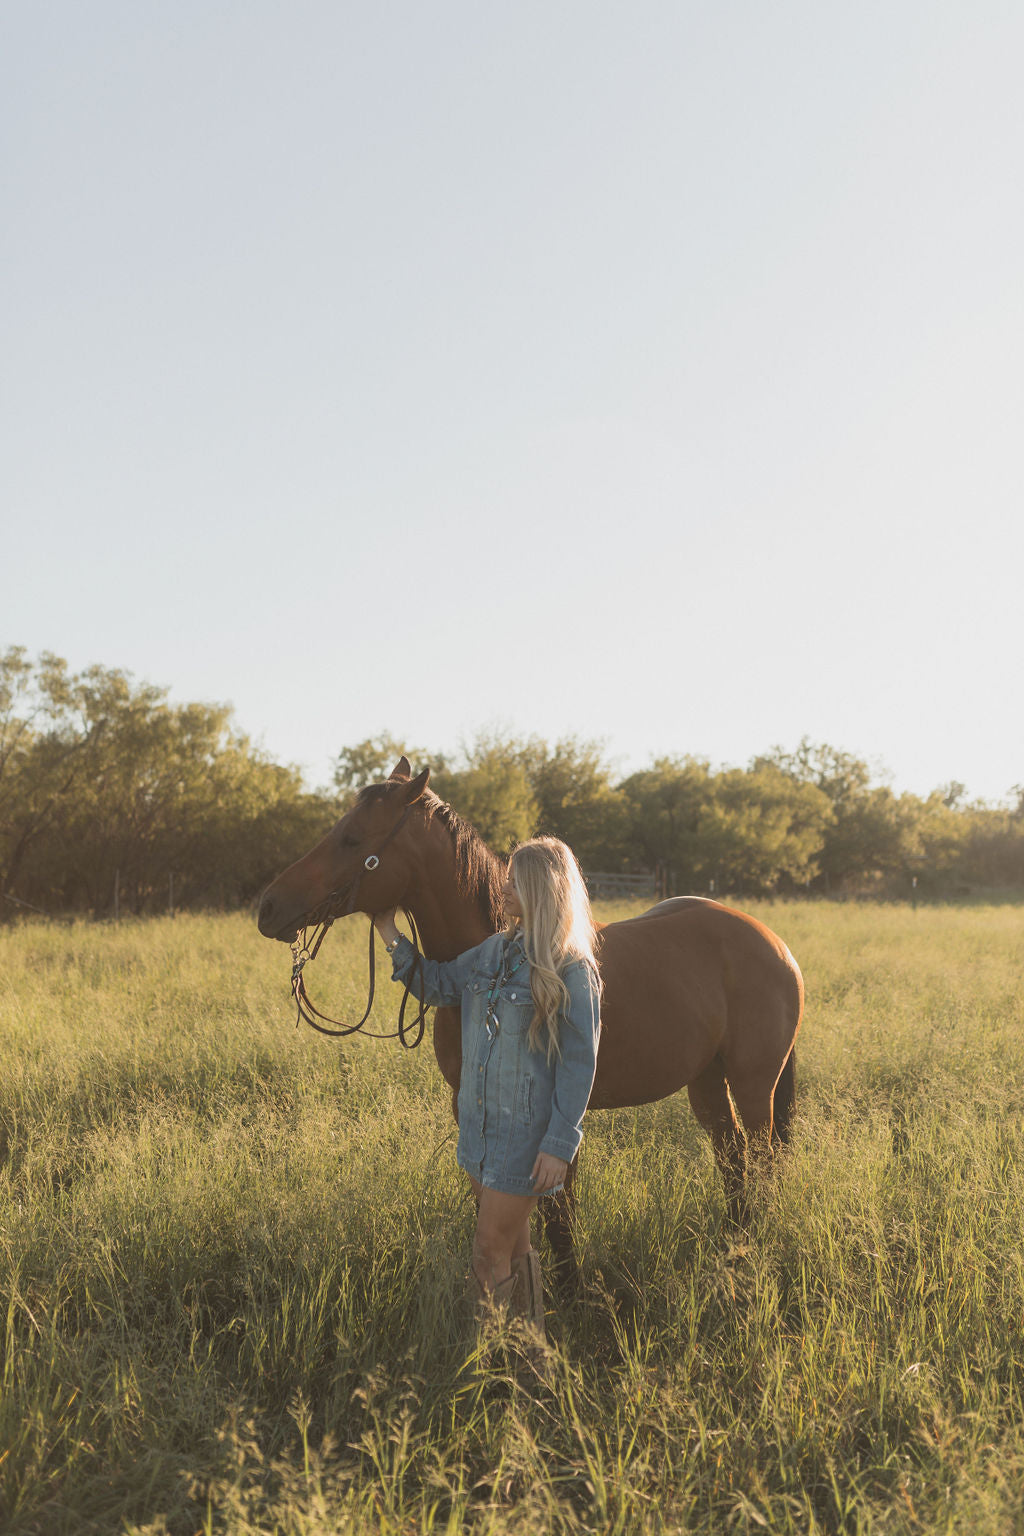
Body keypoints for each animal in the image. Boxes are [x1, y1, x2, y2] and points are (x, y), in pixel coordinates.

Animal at [256, 755, 798, 1284]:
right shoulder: (470, 1107)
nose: (268, 906)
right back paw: (733, 1243)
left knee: (761, 1158)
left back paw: (751, 1250)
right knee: (732, 1157)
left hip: (753, 1085)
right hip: (706, 1080)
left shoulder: (555, 1117)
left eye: (352, 837)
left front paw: (571, 1294)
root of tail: (776, 945)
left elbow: (558, 1216)